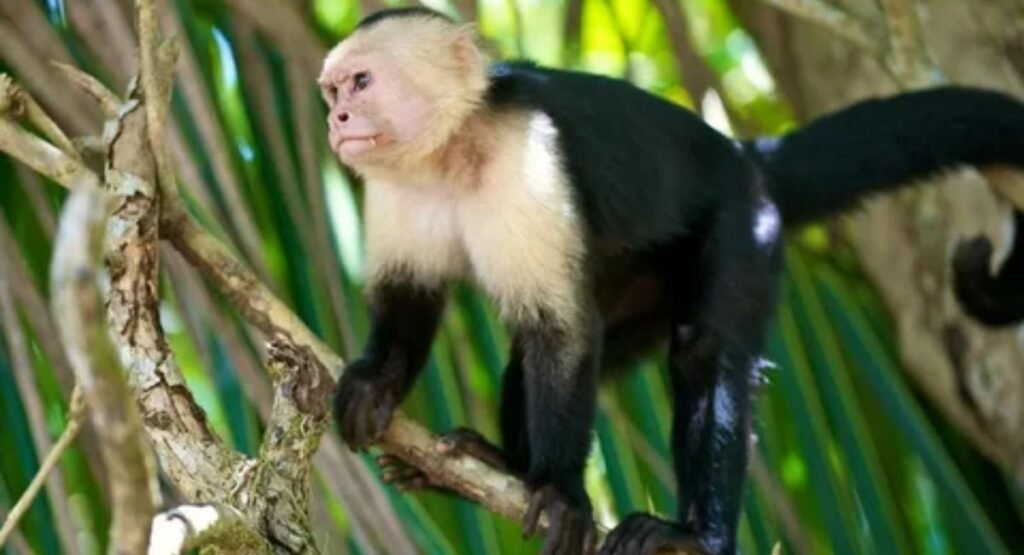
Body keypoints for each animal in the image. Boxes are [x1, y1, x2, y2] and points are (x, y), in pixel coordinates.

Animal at [319, 8, 1024, 555]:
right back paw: (500, 465)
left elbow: (561, 330)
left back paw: (696, 534)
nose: (336, 121)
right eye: (331, 92)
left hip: (744, 224)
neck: (448, 153)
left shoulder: (526, 156)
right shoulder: (393, 187)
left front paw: (560, 490)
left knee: (701, 352)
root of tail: (745, 156)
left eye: (362, 82)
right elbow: (411, 300)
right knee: (541, 357)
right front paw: (376, 383)